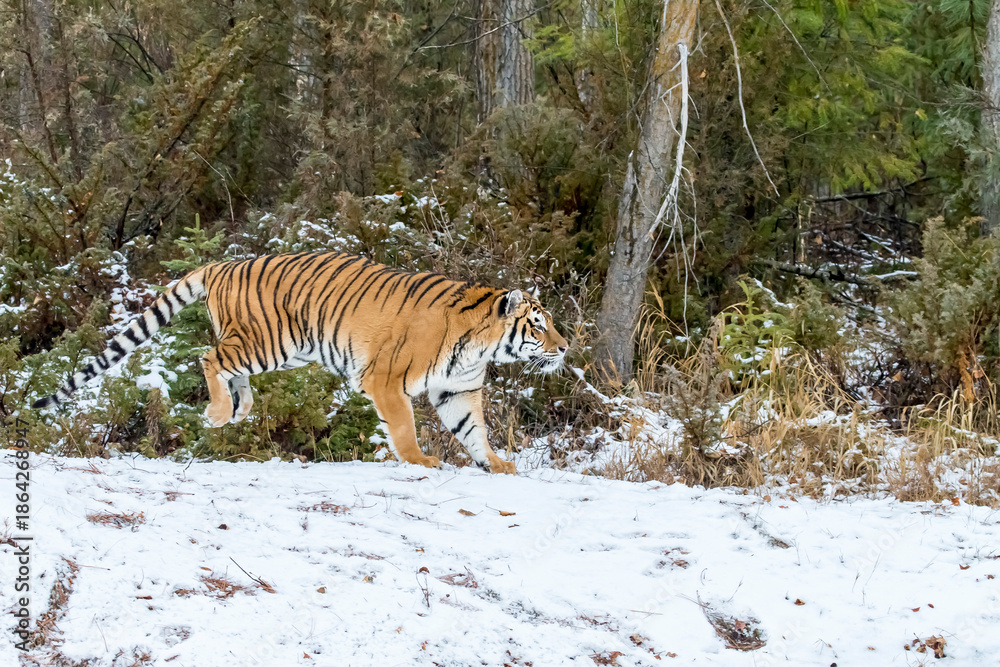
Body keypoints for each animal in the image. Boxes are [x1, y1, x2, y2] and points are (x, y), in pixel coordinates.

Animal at [32, 252, 568, 474]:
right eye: (538, 325)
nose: (565, 347)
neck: (481, 343)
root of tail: (222, 264)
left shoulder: (457, 389)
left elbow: (474, 431)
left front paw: (495, 463)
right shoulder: (386, 379)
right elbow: (403, 427)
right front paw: (420, 460)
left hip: (276, 350)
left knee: (228, 368)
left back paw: (240, 410)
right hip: (267, 340)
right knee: (210, 356)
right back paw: (220, 414)